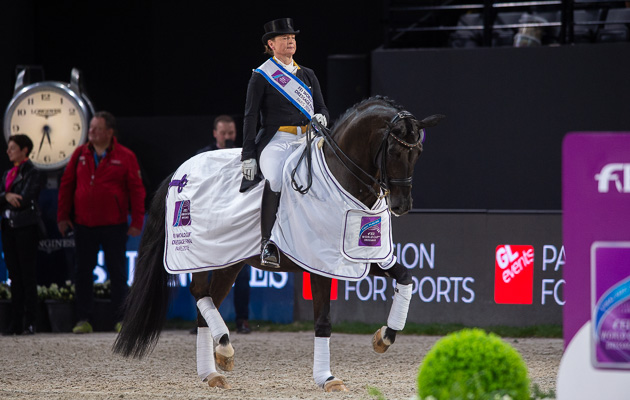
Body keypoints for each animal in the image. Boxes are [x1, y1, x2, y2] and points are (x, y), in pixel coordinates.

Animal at [115, 96, 450, 390]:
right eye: (393, 151)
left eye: (418, 152)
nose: (402, 205)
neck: (341, 178)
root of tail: (179, 171)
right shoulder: (320, 265)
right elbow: (323, 321)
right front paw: (327, 379)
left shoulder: (360, 258)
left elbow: (406, 278)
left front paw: (384, 337)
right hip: (199, 254)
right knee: (198, 293)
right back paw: (224, 346)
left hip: (228, 261)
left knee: (205, 304)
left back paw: (214, 370)